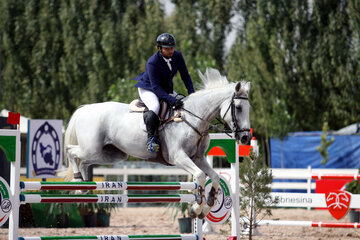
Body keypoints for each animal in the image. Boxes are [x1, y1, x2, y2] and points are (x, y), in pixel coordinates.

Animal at [62, 68, 250, 219]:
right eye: (238, 107)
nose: (245, 138)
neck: (193, 117)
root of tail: (85, 109)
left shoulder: (198, 158)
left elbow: (215, 177)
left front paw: (205, 207)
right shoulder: (178, 157)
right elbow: (201, 176)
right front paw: (195, 208)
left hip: (110, 154)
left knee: (84, 161)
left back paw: (83, 187)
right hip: (91, 148)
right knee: (71, 151)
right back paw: (78, 181)